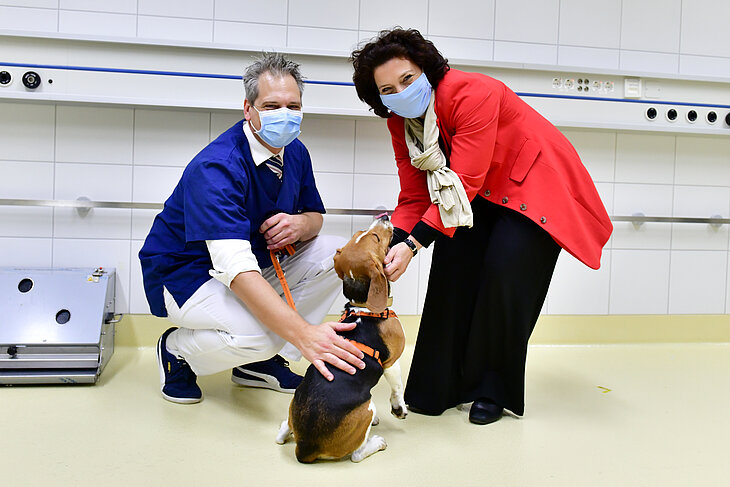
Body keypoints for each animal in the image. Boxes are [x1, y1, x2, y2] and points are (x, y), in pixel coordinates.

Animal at [274, 217, 406, 466]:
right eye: (376, 237)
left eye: (361, 233)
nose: (384, 217)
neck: (363, 306)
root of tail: (305, 448)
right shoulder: (391, 362)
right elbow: (397, 388)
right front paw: (400, 409)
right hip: (366, 409)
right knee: (356, 455)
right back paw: (376, 442)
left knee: (282, 432)